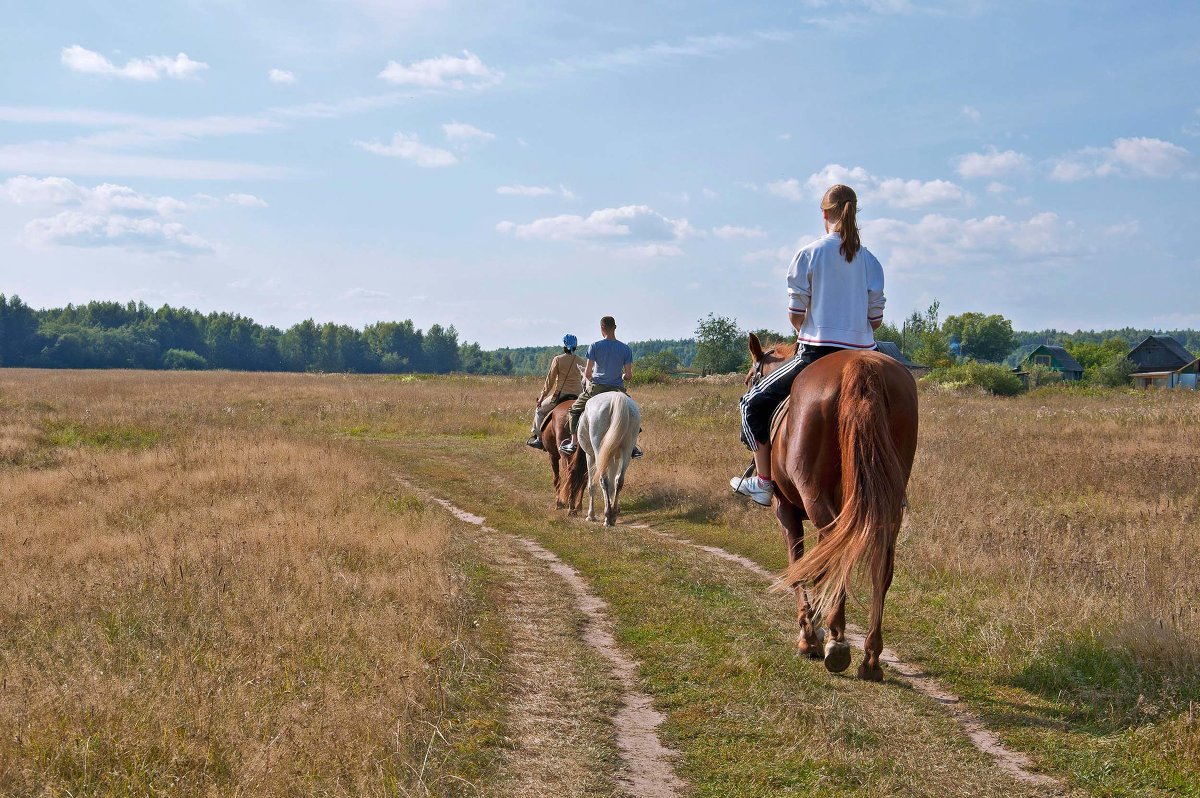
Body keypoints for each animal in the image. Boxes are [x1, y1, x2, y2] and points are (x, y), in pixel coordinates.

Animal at [578, 391, 643, 525]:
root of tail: (616, 397)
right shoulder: (614, 458)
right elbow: (613, 485)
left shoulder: (590, 456)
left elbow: (591, 485)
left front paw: (591, 515)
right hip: (626, 450)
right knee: (619, 480)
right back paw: (612, 514)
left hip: (598, 452)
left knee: (603, 480)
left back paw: (607, 516)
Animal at [744, 331, 921, 676]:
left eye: (749, 379)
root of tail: (861, 365)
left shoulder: (786, 511)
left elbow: (800, 565)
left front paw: (809, 636)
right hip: (887, 504)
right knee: (882, 564)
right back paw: (870, 657)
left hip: (816, 500)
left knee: (837, 558)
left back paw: (836, 643)